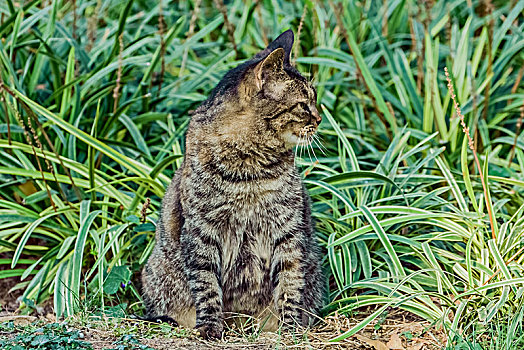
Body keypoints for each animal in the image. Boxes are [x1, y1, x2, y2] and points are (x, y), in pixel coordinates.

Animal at [141, 30, 326, 340]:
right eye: (303, 104)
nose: (320, 119)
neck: (250, 170)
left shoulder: (288, 232)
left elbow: (290, 283)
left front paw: (289, 327)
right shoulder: (202, 233)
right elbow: (206, 286)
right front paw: (210, 326)